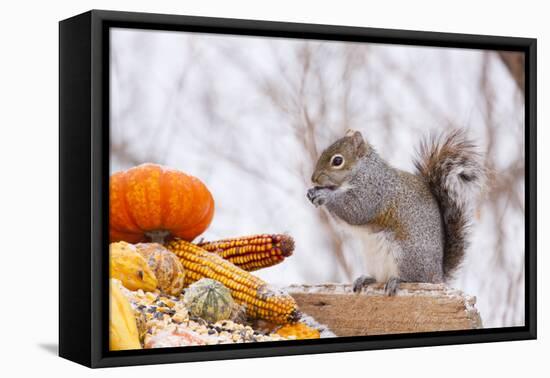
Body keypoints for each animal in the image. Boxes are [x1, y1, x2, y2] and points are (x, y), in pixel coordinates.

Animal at [308, 129, 490, 296]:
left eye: (337, 160)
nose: (314, 179)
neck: (363, 172)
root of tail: (437, 276)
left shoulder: (374, 193)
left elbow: (355, 210)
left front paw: (325, 196)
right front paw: (312, 193)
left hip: (406, 255)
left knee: (414, 279)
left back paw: (398, 280)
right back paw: (366, 279)